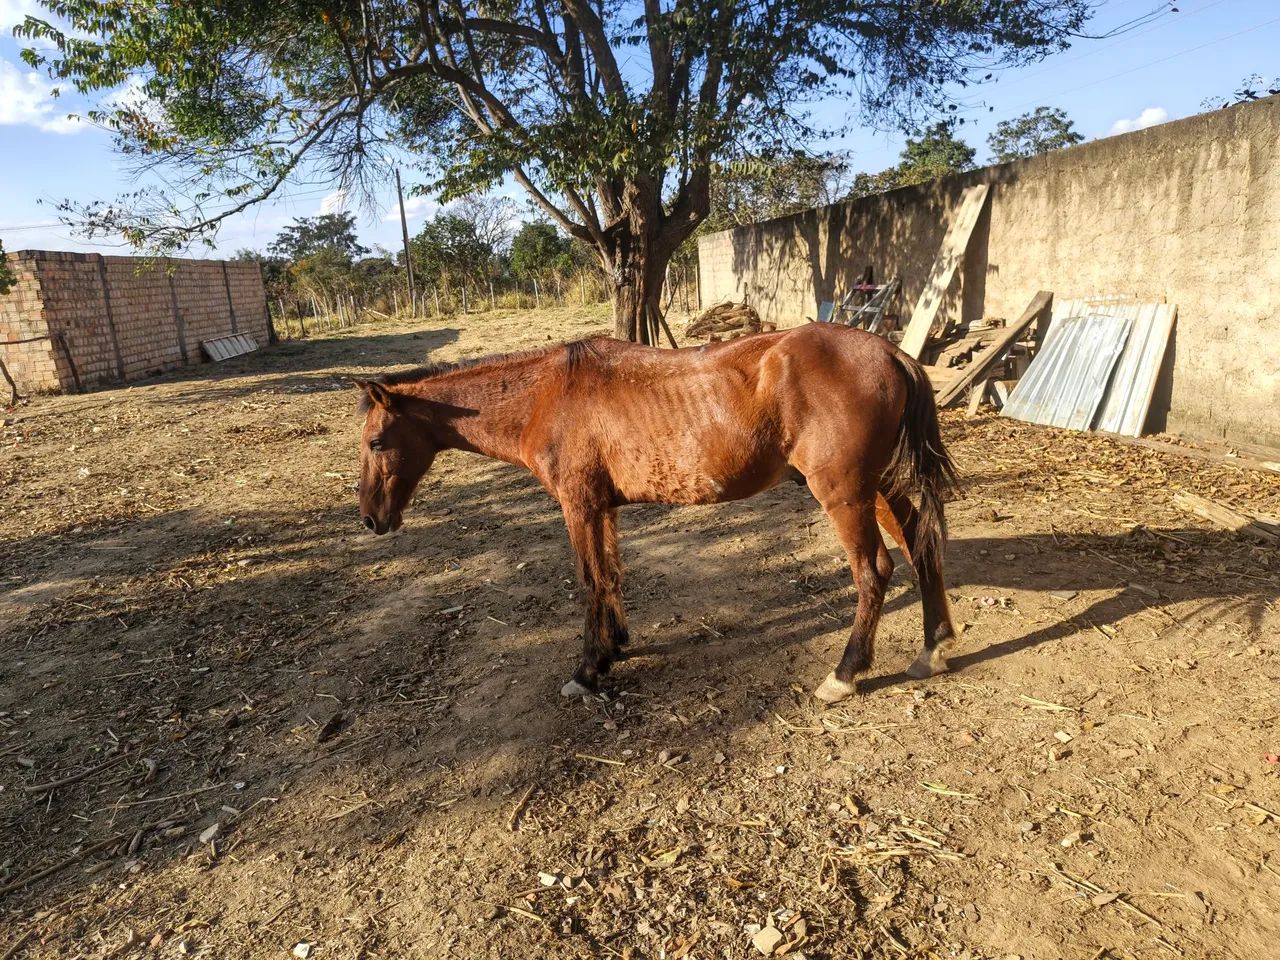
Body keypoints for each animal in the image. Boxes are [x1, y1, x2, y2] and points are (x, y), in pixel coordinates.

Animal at [354, 322, 959, 704]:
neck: (548, 396)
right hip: (878, 487)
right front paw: (614, 646)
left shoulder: (579, 506)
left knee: (874, 571)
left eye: (377, 442)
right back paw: (933, 648)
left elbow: (590, 580)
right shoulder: (603, 509)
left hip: (844, 493)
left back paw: (845, 674)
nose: (371, 520)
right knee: (921, 544)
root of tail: (891, 353)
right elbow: (611, 576)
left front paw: (588, 670)